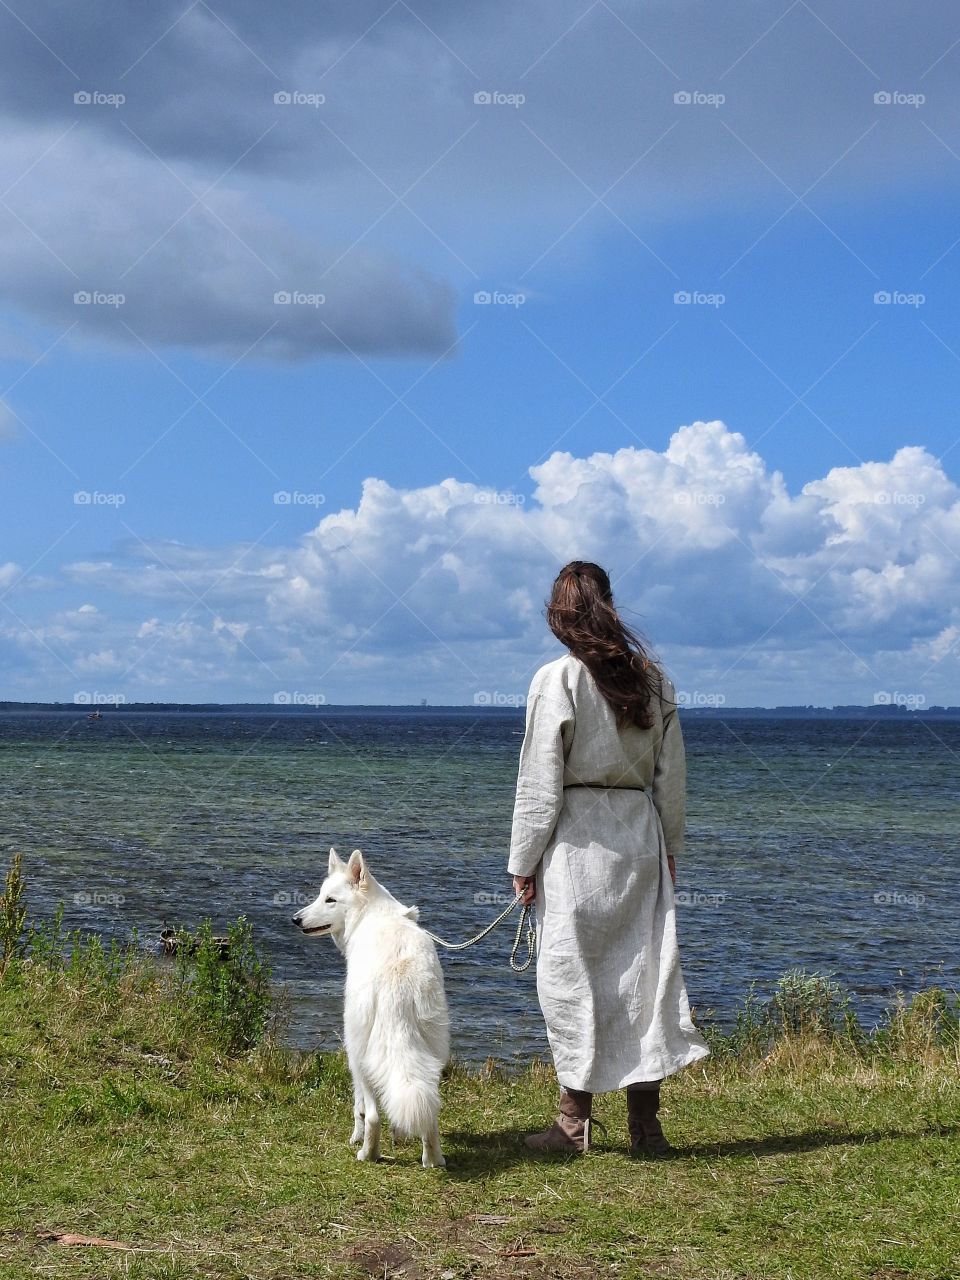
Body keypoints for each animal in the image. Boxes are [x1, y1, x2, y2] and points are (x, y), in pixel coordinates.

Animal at [293, 849, 450, 1172]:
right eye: (320, 896)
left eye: (330, 900)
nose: (295, 919)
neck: (371, 915)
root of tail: (397, 984)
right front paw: (399, 1136)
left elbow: (359, 1109)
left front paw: (356, 1138)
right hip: (434, 1048)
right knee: (429, 1110)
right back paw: (433, 1159)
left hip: (357, 1051)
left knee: (372, 1113)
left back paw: (368, 1153)